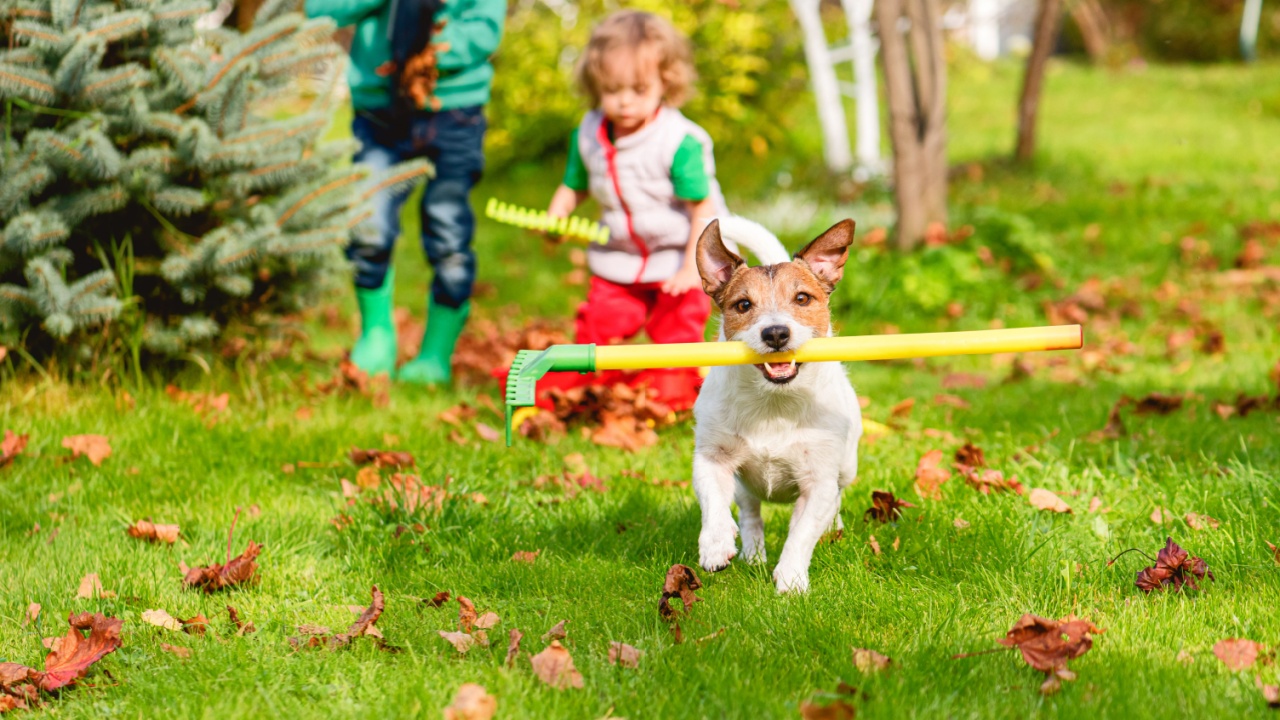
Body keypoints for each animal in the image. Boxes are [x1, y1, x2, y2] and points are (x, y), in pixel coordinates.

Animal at [691, 215, 860, 591]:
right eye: (743, 305)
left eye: (802, 298)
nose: (776, 333)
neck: (774, 402)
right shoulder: (712, 457)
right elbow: (713, 500)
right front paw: (716, 544)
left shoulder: (818, 481)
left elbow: (802, 533)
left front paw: (791, 579)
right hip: (745, 486)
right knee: (750, 511)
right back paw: (752, 553)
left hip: (847, 467)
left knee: (836, 500)